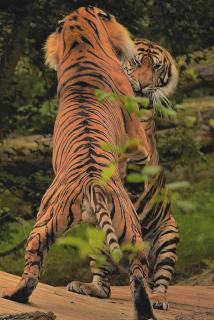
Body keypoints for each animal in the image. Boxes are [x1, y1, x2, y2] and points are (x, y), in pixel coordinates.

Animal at [0, 6, 157, 320]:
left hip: (45, 223)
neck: (82, 43)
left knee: (32, 266)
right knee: (137, 274)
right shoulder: (136, 137)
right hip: (129, 233)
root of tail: (92, 184)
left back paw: (15, 295)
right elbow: (140, 160)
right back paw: (144, 310)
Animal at [68, 37, 179, 310]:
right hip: (96, 236)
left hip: (168, 234)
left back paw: (157, 298)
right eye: (137, 63)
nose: (144, 85)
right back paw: (88, 287)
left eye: (156, 67)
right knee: (104, 283)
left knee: (159, 278)